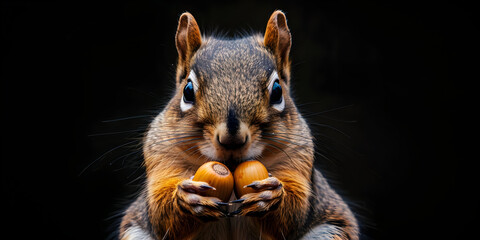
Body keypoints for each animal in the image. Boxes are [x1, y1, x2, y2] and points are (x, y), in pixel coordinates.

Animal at [119, 10, 360, 239]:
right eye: (187, 91)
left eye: (277, 91)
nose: (231, 139)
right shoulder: (162, 158)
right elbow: (160, 213)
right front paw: (188, 198)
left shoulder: (299, 160)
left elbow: (296, 211)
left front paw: (270, 195)